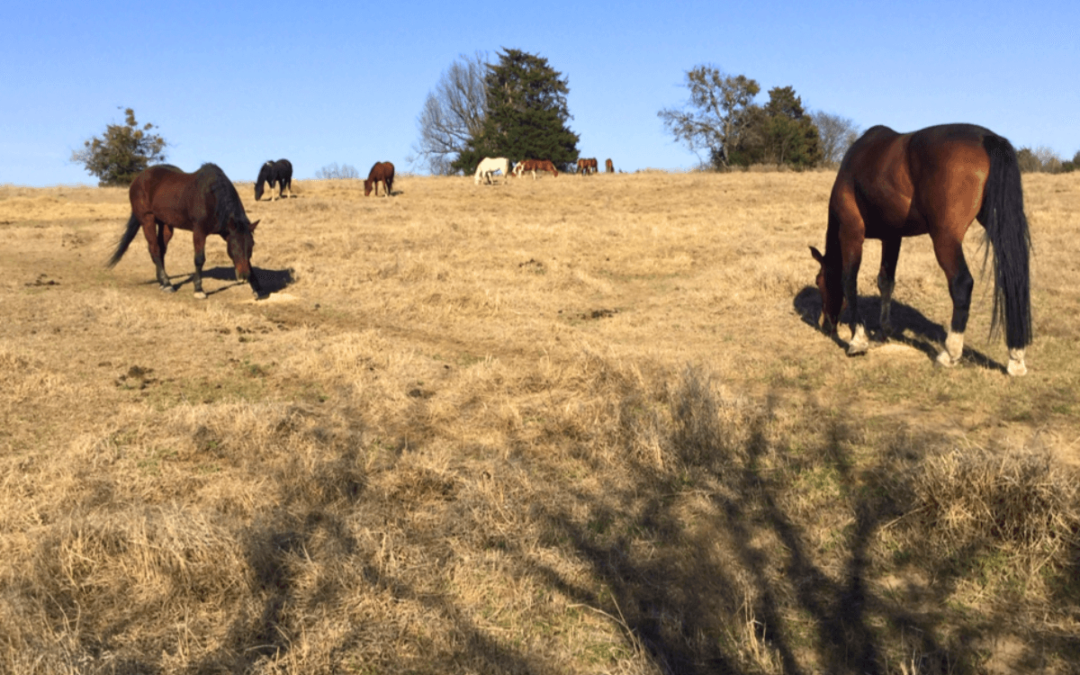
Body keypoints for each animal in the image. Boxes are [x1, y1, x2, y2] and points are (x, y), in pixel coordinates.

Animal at [108, 163, 262, 299]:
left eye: (252, 245)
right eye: (234, 246)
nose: (244, 276)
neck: (212, 197)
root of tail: (138, 179)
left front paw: (256, 287)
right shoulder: (199, 232)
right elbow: (199, 259)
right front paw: (198, 290)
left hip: (165, 224)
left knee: (160, 250)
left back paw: (162, 282)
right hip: (147, 219)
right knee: (155, 249)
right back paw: (166, 283)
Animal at [810, 123, 1032, 376]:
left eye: (819, 281)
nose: (826, 325)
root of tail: (987, 138)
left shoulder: (851, 231)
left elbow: (849, 280)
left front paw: (857, 340)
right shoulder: (892, 237)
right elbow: (885, 282)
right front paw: (883, 331)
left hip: (945, 238)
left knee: (962, 284)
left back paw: (949, 354)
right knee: (1012, 282)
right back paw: (1016, 358)